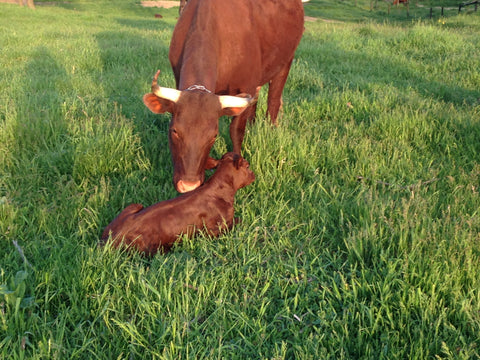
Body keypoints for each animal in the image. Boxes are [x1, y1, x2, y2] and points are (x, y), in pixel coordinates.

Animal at [98, 152, 255, 256]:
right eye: (247, 165)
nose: (253, 175)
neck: (221, 191)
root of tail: (111, 238)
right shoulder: (214, 230)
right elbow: (240, 221)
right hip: (152, 248)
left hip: (134, 205)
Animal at [142, 0, 306, 194]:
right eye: (174, 131)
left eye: (214, 136)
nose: (188, 186)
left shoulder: (246, 84)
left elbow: (236, 130)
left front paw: (237, 161)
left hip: (286, 61)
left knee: (273, 102)